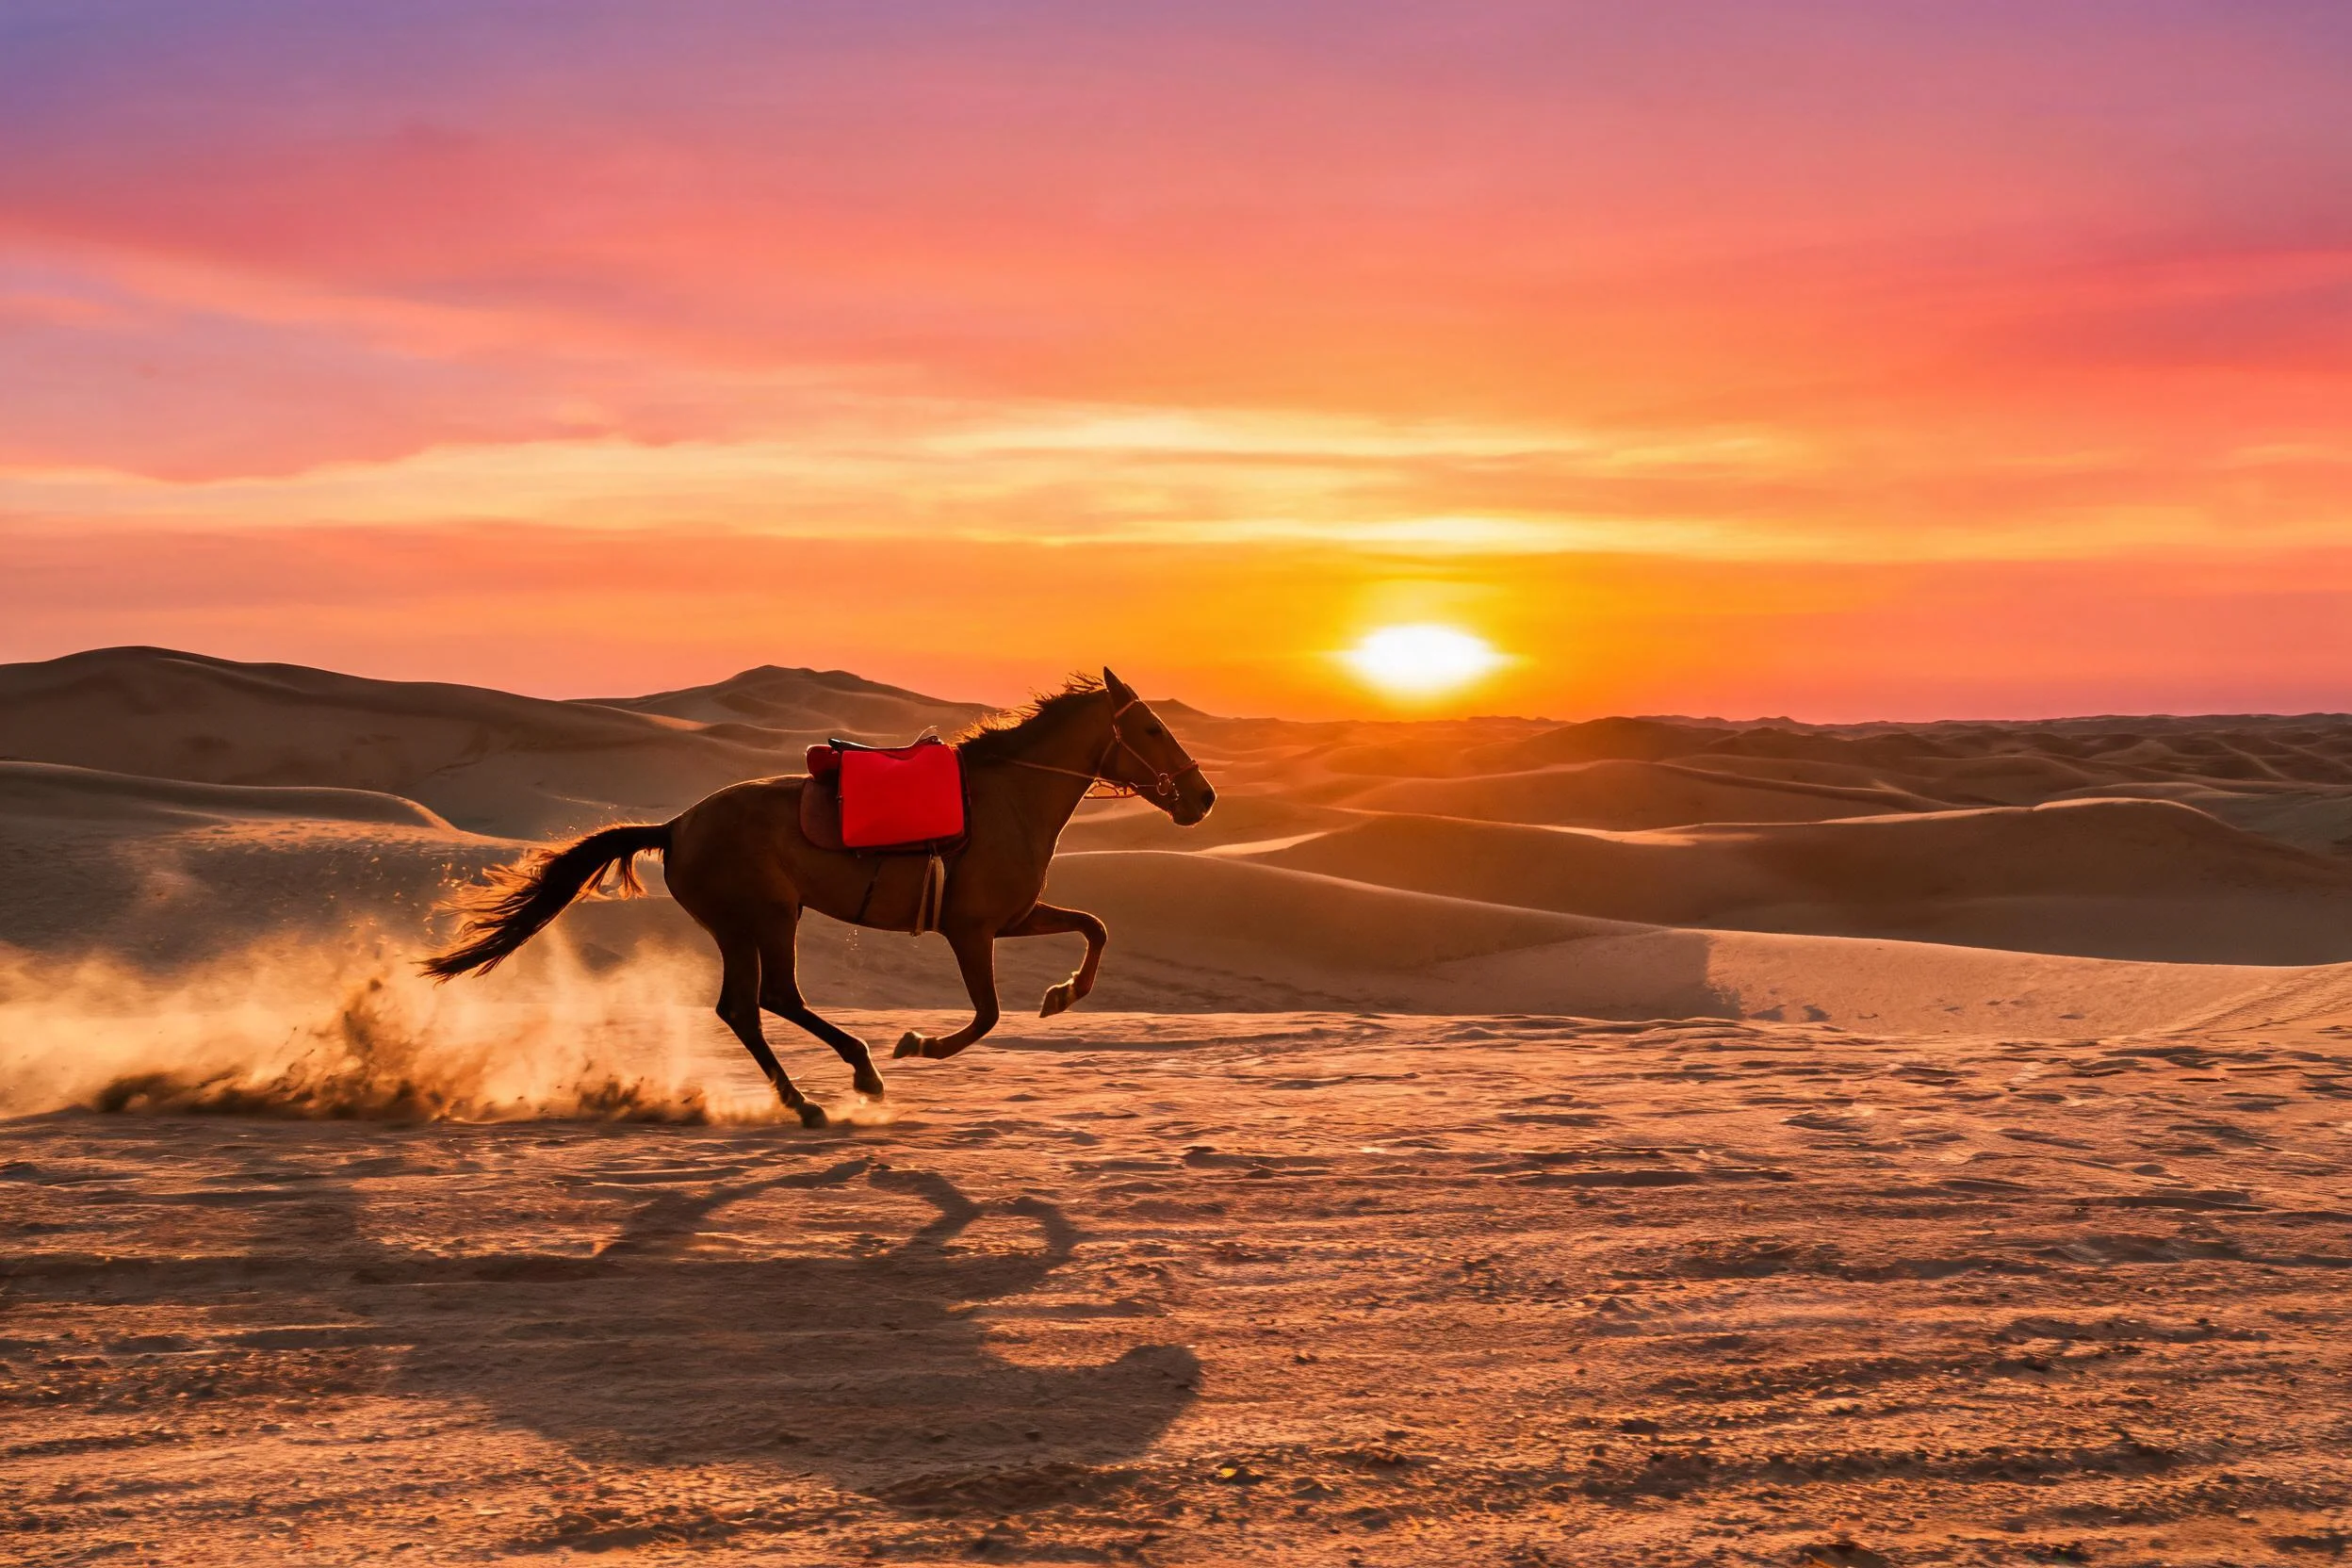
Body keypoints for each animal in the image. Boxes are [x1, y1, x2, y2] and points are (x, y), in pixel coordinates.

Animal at [421, 669, 1214, 1125]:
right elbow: (986, 1015)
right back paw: (848, 1079)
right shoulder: (971, 928)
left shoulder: (1011, 919)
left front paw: (1061, 995)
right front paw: (919, 1043)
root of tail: (677, 826)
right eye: (1152, 728)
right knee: (768, 999)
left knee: (749, 1007)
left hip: (754, 924)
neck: (1008, 798)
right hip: (765, 918)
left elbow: (1095, 927)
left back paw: (816, 1093)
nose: (1202, 798)